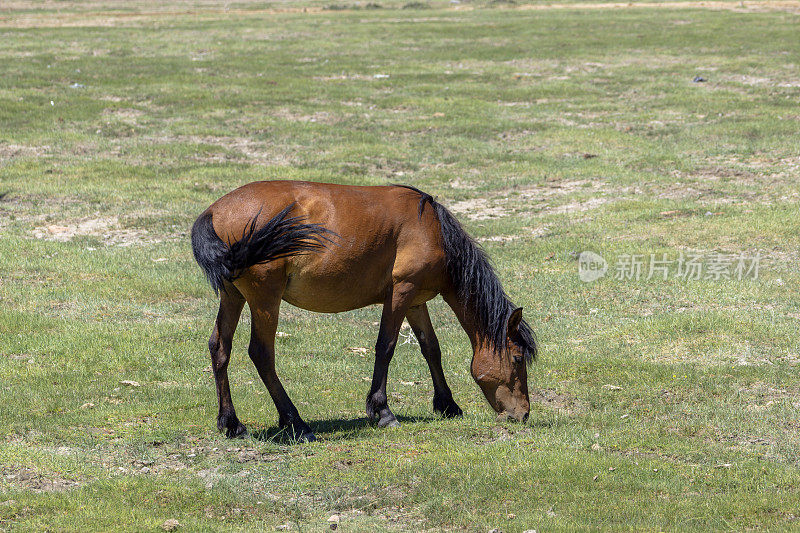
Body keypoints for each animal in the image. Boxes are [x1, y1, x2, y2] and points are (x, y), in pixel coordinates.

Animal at [191, 179, 536, 440]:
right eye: (517, 359)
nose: (523, 414)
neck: (432, 228)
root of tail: (214, 211)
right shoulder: (401, 292)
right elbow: (386, 346)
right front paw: (382, 411)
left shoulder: (416, 300)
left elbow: (431, 348)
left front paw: (447, 405)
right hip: (265, 300)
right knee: (261, 354)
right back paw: (297, 423)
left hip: (233, 296)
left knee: (220, 348)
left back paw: (232, 424)